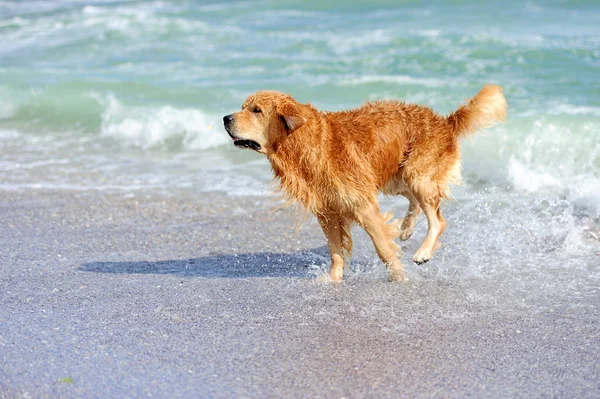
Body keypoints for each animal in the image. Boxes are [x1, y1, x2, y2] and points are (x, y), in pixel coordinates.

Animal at [225, 86, 506, 282]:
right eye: (243, 106)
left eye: (256, 110)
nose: (226, 118)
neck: (306, 143)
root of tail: (445, 121)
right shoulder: (328, 213)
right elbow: (335, 250)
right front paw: (333, 279)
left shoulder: (362, 205)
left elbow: (383, 248)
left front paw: (400, 277)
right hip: (396, 176)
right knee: (415, 201)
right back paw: (406, 229)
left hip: (417, 173)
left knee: (438, 219)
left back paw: (423, 252)